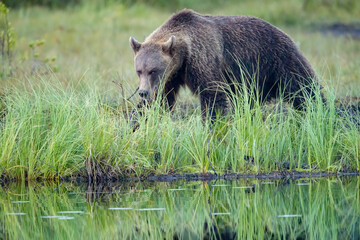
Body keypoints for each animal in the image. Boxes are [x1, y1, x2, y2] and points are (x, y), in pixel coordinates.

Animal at [129, 9, 320, 122]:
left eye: (153, 70)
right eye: (139, 71)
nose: (143, 92)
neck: (183, 54)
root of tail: (283, 32)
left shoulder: (202, 60)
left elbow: (212, 95)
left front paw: (212, 124)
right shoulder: (173, 75)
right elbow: (162, 99)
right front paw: (144, 119)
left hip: (277, 59)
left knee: (303, 87)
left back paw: (319, 110)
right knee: (248, 101)